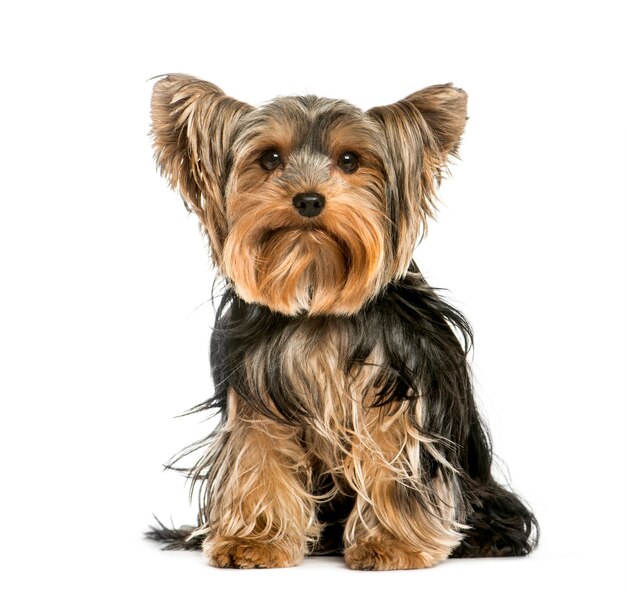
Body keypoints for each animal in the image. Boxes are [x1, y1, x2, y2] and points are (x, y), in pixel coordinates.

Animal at [145, 75, 536, 572]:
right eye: (269, 159)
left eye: (349, 160)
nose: (309, 199)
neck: (315, 288)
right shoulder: (257, 393)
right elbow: (259, 456)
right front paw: (255, 542)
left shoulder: (394, 393)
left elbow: (392, 465)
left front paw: (392, 545)